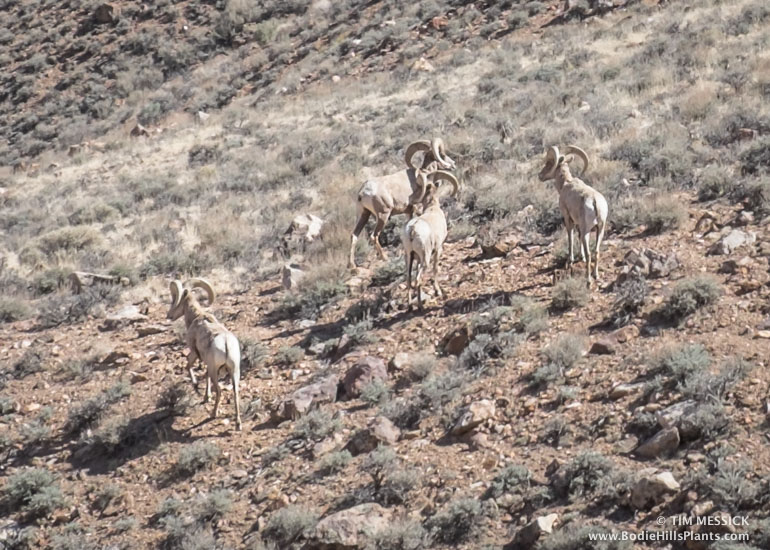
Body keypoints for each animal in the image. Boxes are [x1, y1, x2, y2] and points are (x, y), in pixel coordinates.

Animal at [167, 278, 242, 431]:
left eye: (174, 299)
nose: (169, 315)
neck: (197, 317)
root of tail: (225, 343)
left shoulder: (194, 353)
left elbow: (188, 365)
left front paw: (196, 386)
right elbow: (204, 375)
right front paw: (206, 396)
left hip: (215, 371)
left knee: (219, 391)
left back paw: (213, 414)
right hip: (234, 371)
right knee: (236, 392)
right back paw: (238, 424)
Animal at [348, 137, 456, 269]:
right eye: (441, 154)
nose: (453, 164)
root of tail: (364, 192)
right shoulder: (412, 209)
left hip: (363, 215)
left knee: (354, 236)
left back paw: (352, 265)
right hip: (383, 215)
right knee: (374, 236)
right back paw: (384, 258)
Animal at [402, 170, 459, 309]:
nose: (410, 199)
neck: (433, 208)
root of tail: (413, 229)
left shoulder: (416, 259)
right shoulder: (438, 250)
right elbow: (435, 269)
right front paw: (438, 292)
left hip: (409, 256)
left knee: (409, 279)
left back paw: (411, 306)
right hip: (425, 257)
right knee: (418, 279)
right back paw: (420, 306)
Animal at [538, 145, 608, 287]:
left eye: (549, 163)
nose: (540, 175)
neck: (566, 183)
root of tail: (595, 202)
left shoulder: (567, 218)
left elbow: (570, 237)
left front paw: (570, 261)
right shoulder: (578, 224)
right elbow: (578, 237)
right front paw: (580, 257)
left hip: (587, 230)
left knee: (589, 254)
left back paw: (588, 280)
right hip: (600, 229)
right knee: (596, 251)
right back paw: (596, 275)